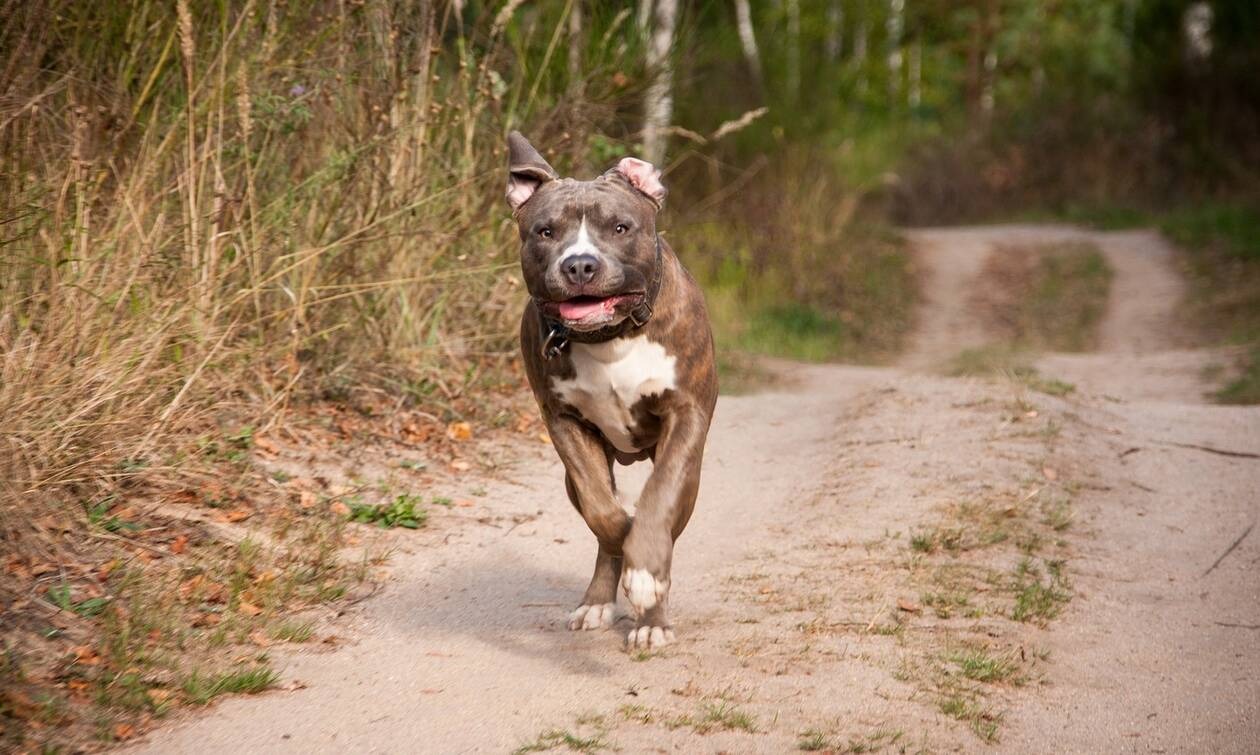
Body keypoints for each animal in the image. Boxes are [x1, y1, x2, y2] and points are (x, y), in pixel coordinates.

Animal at [504, 129, 720, 650]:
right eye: (545, 232)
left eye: (621, 227)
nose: (580, 264)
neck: (610, 337)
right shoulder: (563, 422)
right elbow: (604, 512)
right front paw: (624, 540)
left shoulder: (685, 415)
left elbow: (658, 501)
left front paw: (646, 577)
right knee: (601, 519)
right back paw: (600, 600)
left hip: (692, 475)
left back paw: (651, 618)